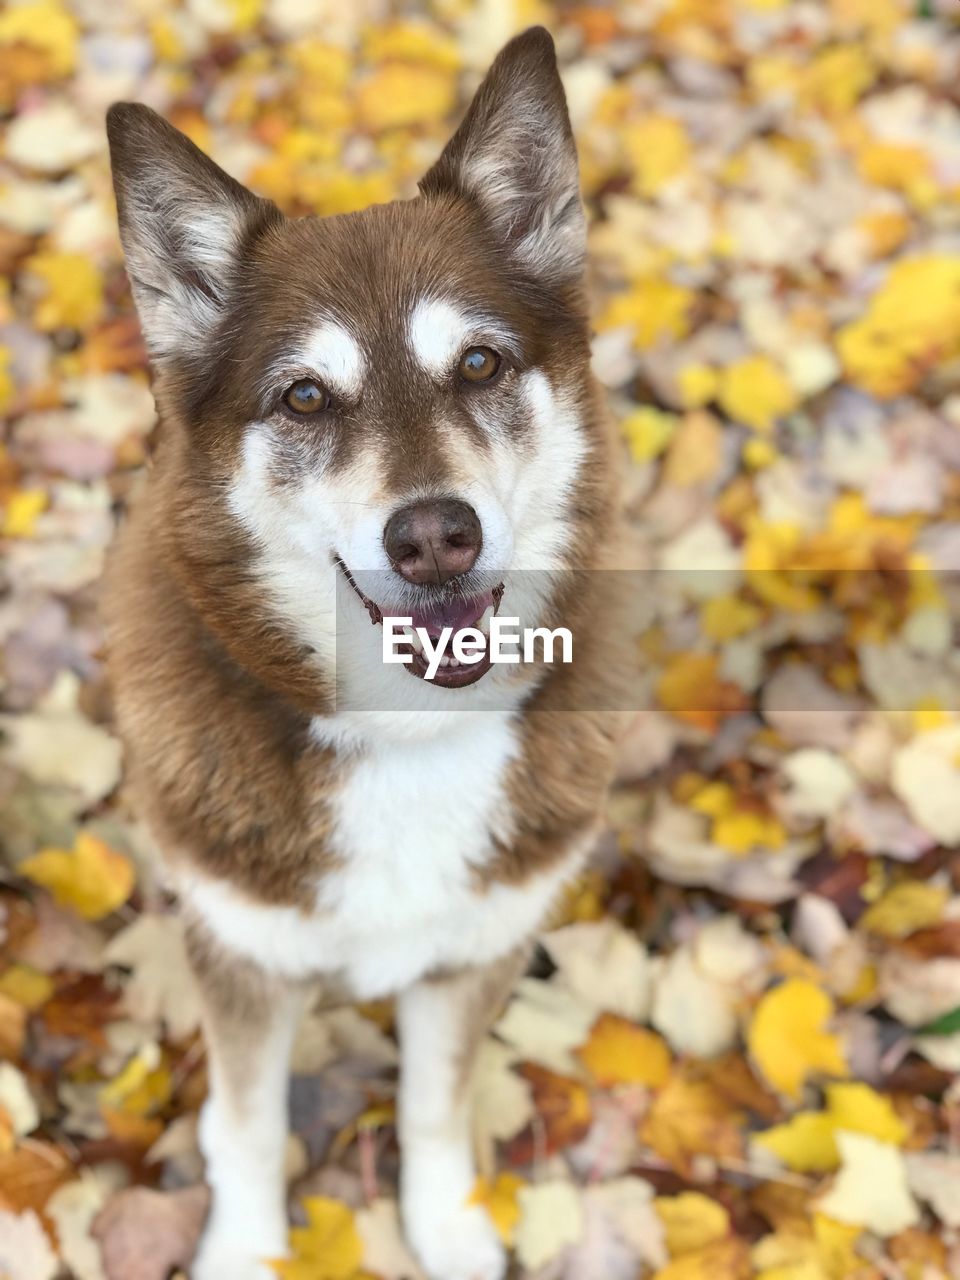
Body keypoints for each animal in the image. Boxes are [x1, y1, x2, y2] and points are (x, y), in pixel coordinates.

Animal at [104, 27, 624, 1280]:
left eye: (479, 366)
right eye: (303, 396)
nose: (436, 535)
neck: (405, 730)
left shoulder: (472, 951)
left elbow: (436, 1105)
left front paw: (446, 1225)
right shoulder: (243, 956)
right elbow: (247, 1126)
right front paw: (246, 1251)